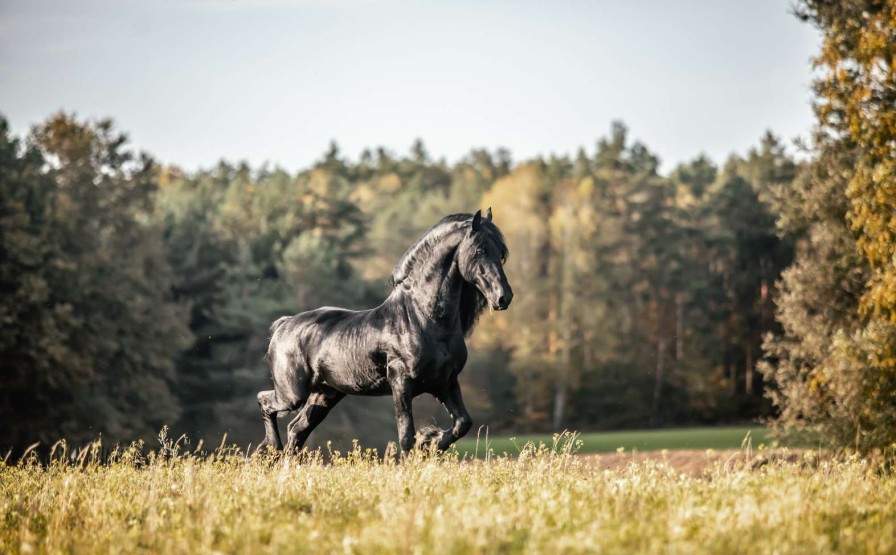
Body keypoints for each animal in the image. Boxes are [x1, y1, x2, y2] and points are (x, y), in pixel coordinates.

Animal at [256, 210, 516, 456]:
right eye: (480, 250)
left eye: (501, 252)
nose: (503, 297)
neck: (422, 317)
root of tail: (283, 325)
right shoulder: (401, 382)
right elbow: (406, 437)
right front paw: (423, 446)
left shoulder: (445, 382)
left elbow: (462, 423)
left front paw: (429, 442)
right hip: (292, 394)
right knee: (265, 402)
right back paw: (270, 449)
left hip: (325, 394)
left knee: (297, 430)